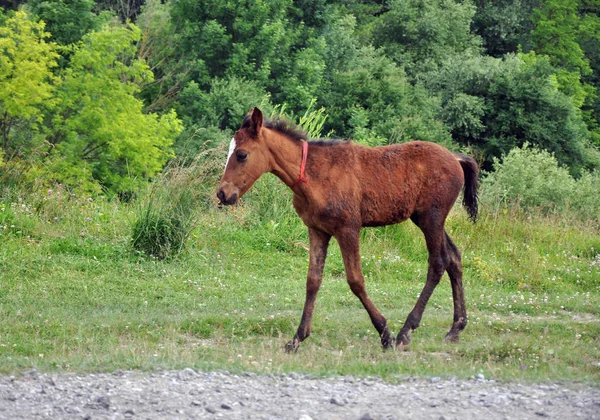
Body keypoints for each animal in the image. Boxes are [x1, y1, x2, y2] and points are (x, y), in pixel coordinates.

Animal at [216, 107, 478, 352]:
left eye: (241, 154)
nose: (222, 194)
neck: (314, 175)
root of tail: (456, 159)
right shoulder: (317, 230)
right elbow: (313, 281)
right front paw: (297, 338)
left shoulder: (348, 229)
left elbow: (355, 280)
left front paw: (385, 334)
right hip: (425, 219)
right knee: (454, 258)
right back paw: (455, 328)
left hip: (431, 218)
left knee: (438, 263)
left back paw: (406, 331)